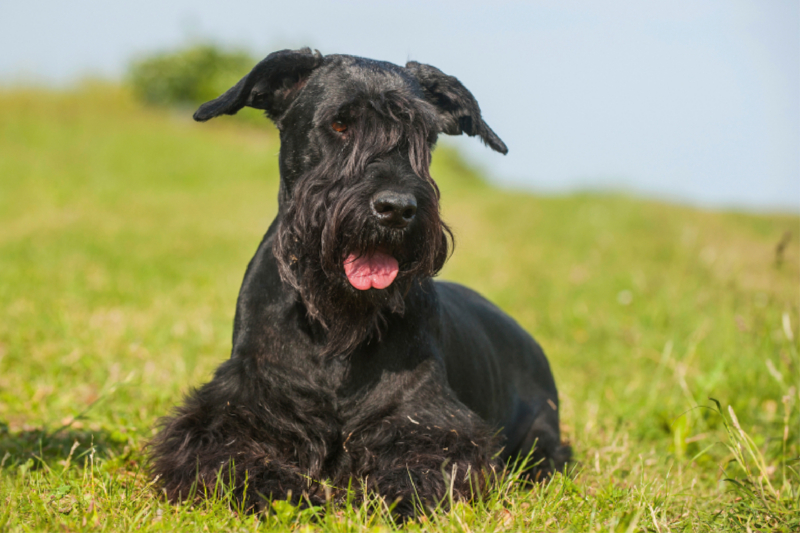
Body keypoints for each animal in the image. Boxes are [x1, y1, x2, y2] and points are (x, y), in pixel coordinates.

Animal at [152, 50, 568, 516]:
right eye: (339, 124)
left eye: (424, 134)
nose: (397, 208)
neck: (332, 328)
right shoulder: (236, 408)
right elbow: (230, 455)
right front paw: (280, 489)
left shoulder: (429, 420)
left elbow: (422, 464)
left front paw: (389, 498)